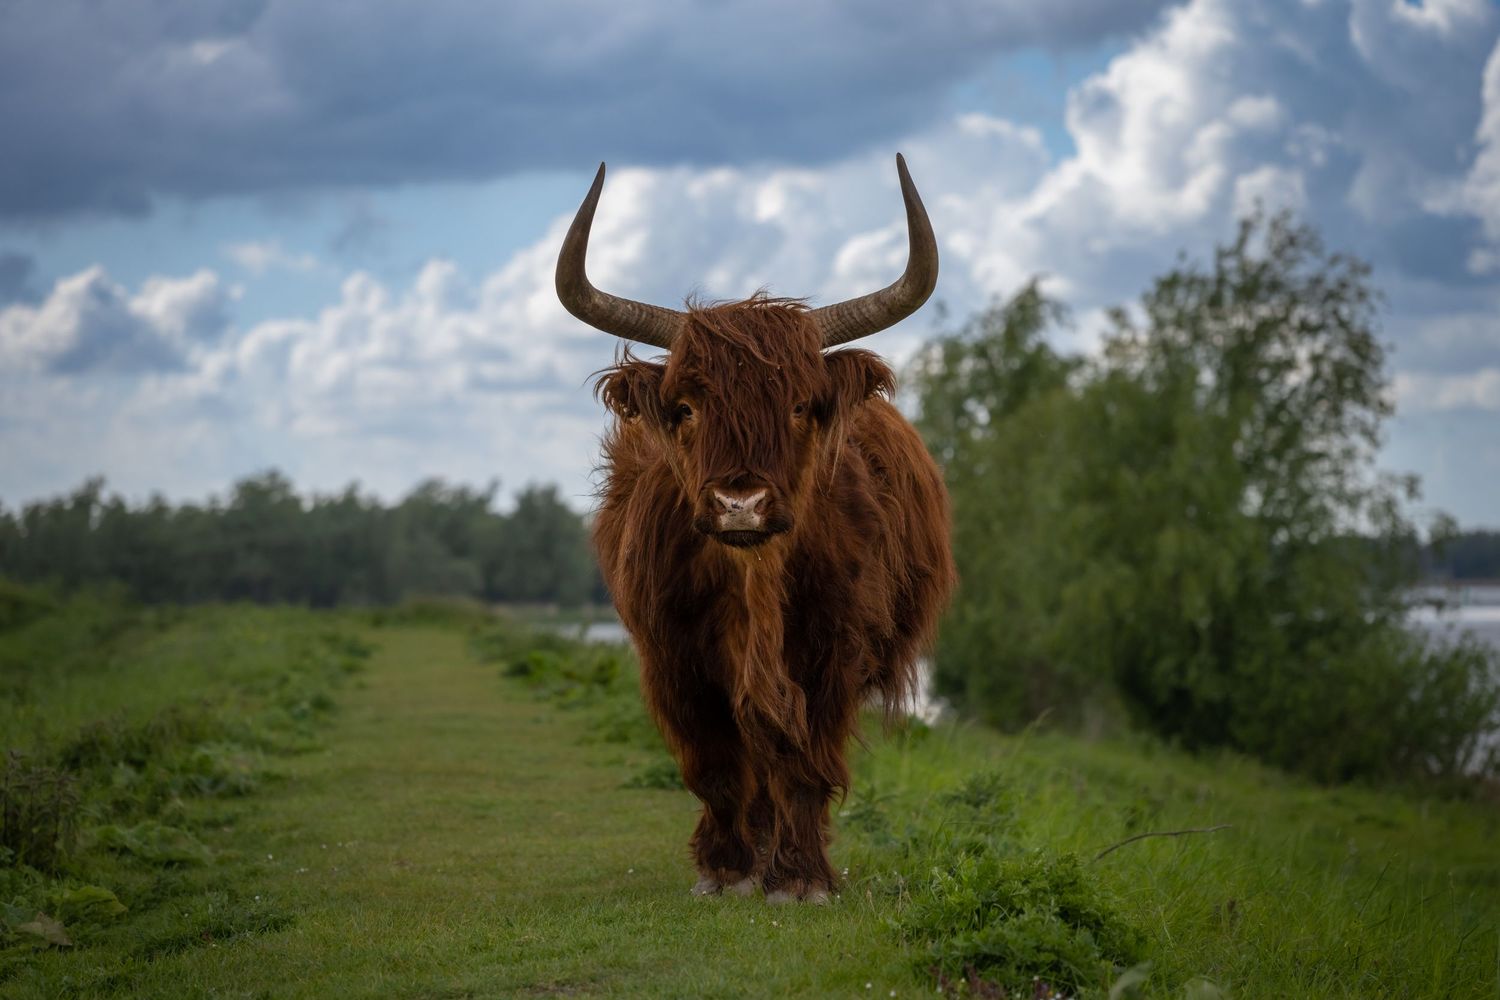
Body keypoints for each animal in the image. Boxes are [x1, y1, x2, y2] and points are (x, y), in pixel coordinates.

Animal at [555, 154, 955, 903]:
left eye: (800, 406)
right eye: (685, 408)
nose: (740, 502)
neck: (753, 582)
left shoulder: (834, 653)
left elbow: (803, 765)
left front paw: (800, 879)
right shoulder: (672, 657)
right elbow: (715, 765)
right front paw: (724, 868)